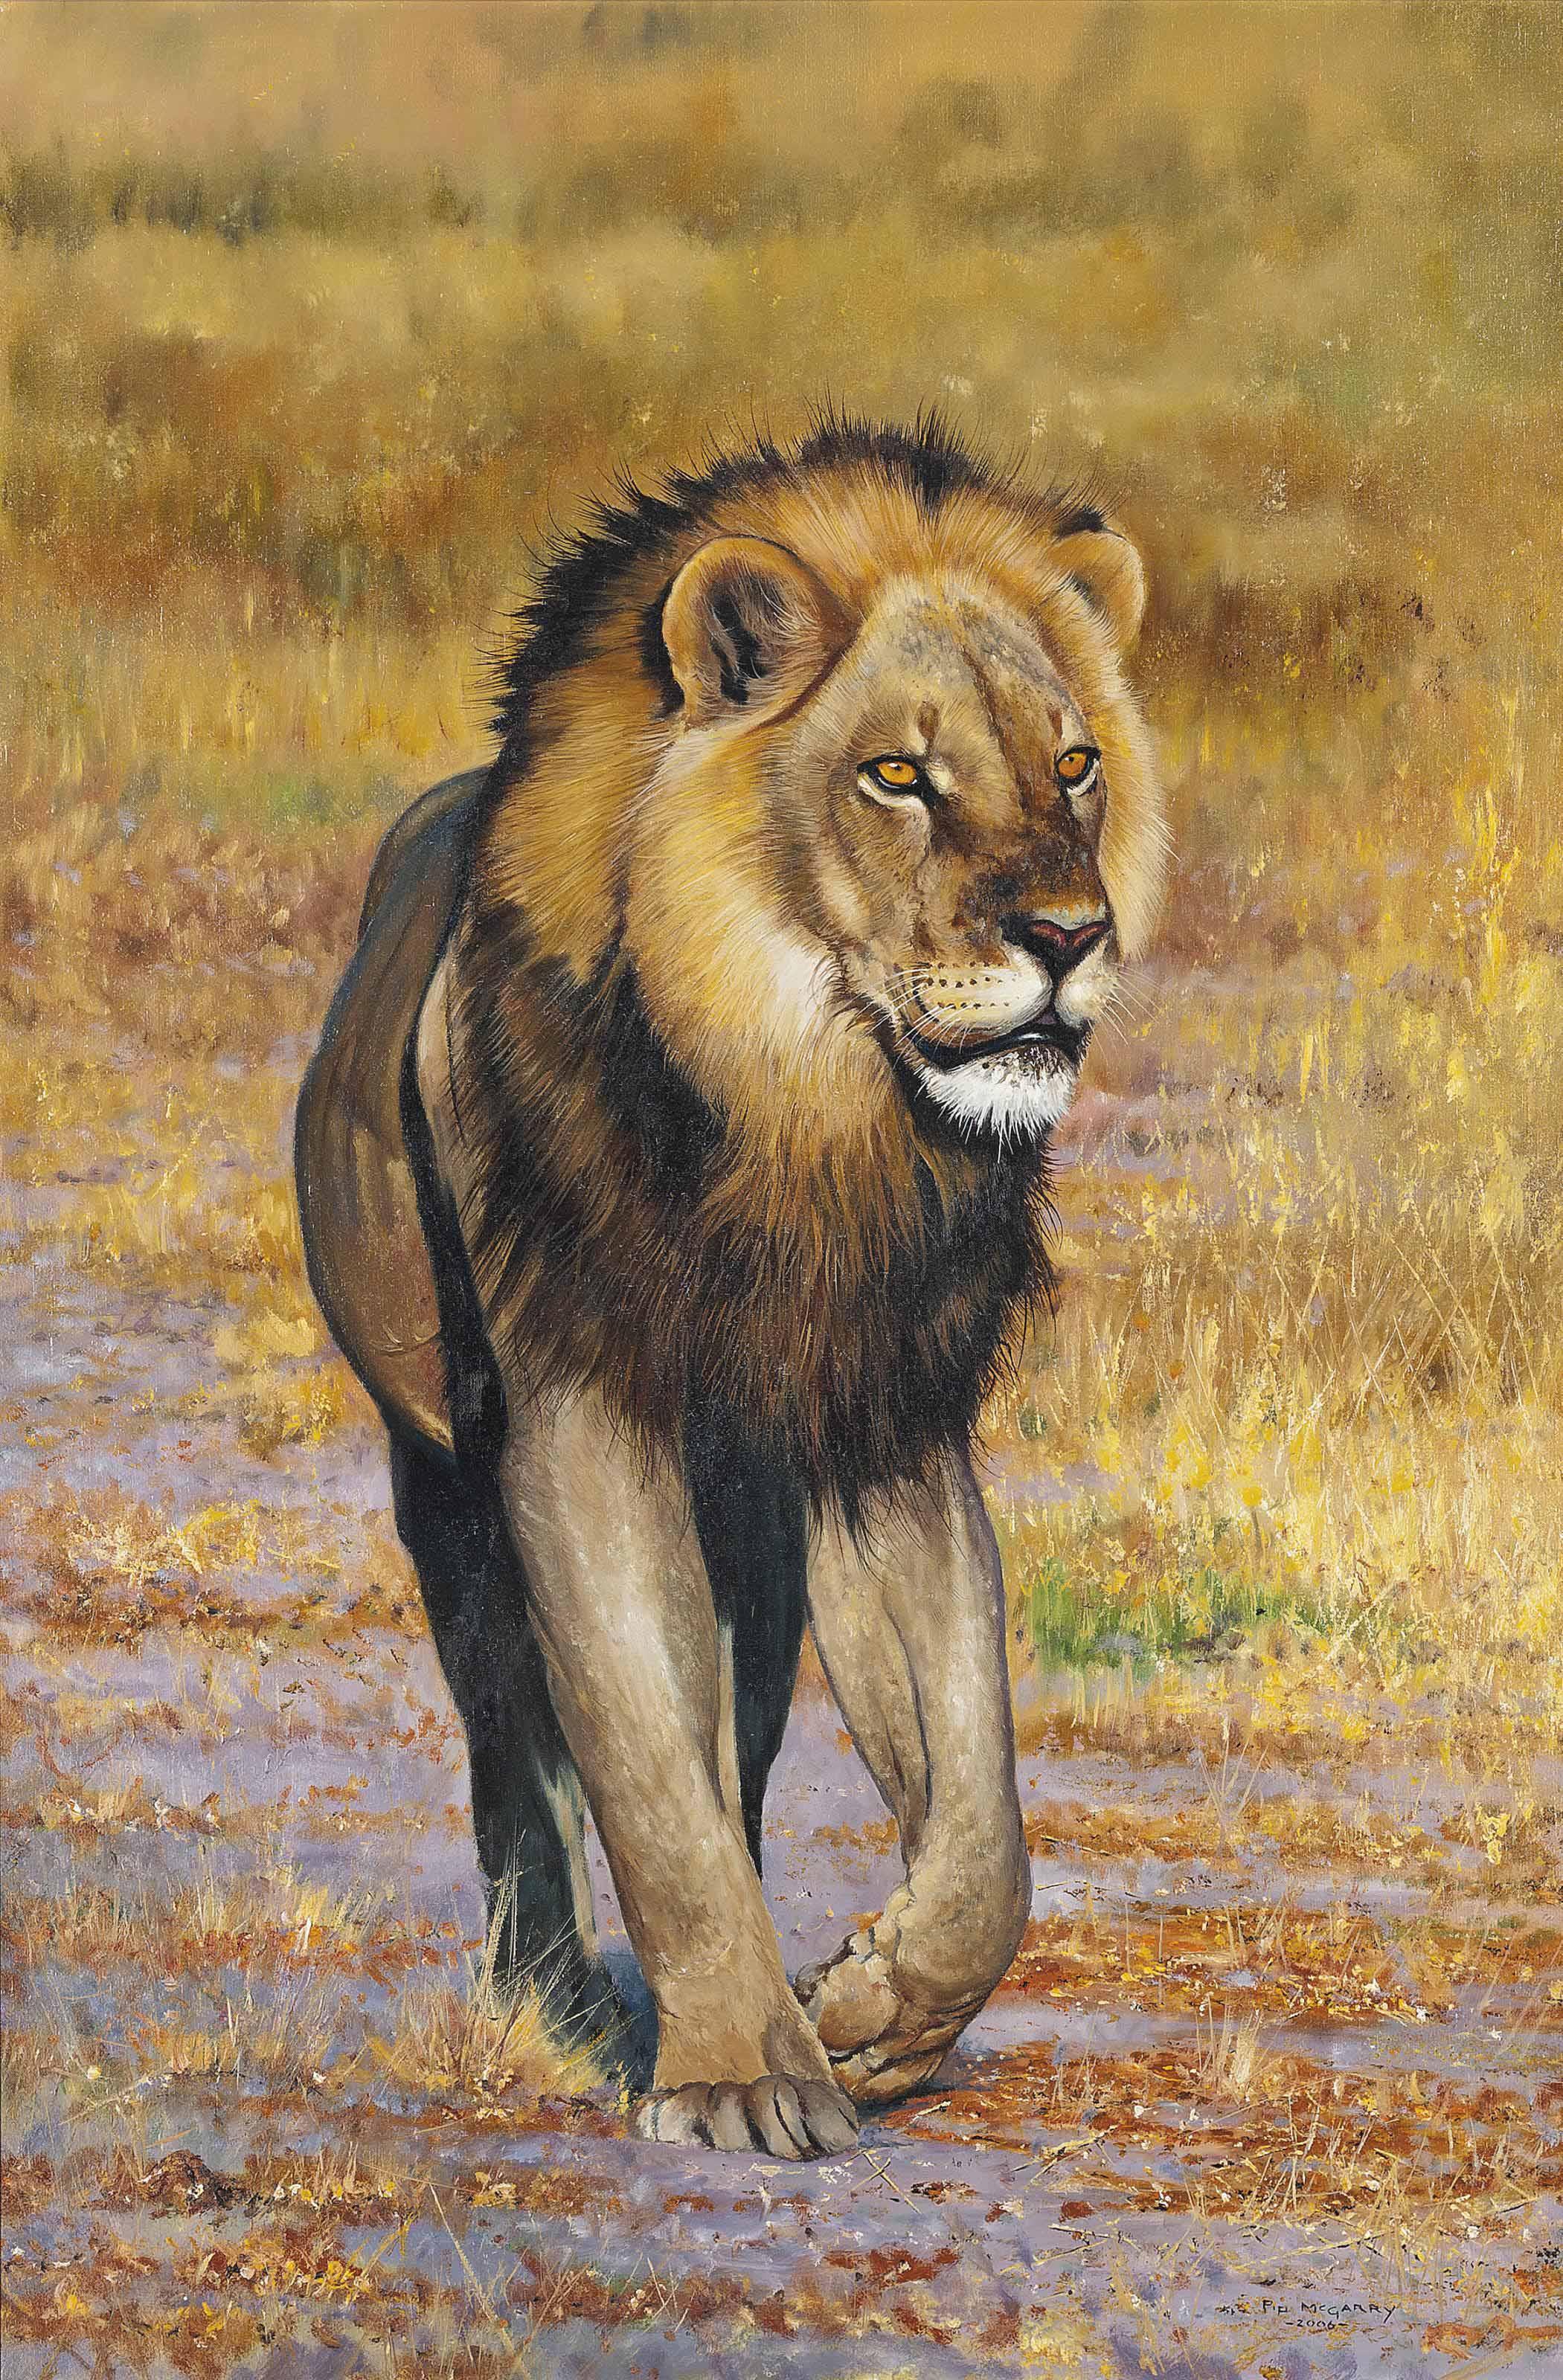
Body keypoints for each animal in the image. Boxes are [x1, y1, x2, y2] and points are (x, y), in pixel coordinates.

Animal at [295, 414, 1164, 2160]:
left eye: (1074, 766)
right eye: (897, 775)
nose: (1068, 933)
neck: (800, 1116)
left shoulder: (878, 1429)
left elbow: (983, 1814)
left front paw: (875, 2014)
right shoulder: (575, 1408)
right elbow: (638, 1763)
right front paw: (741, 2074)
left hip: (748, 1527)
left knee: (739, 1737)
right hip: (445, 1489)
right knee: (522, 1754)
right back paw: (560, 1992)